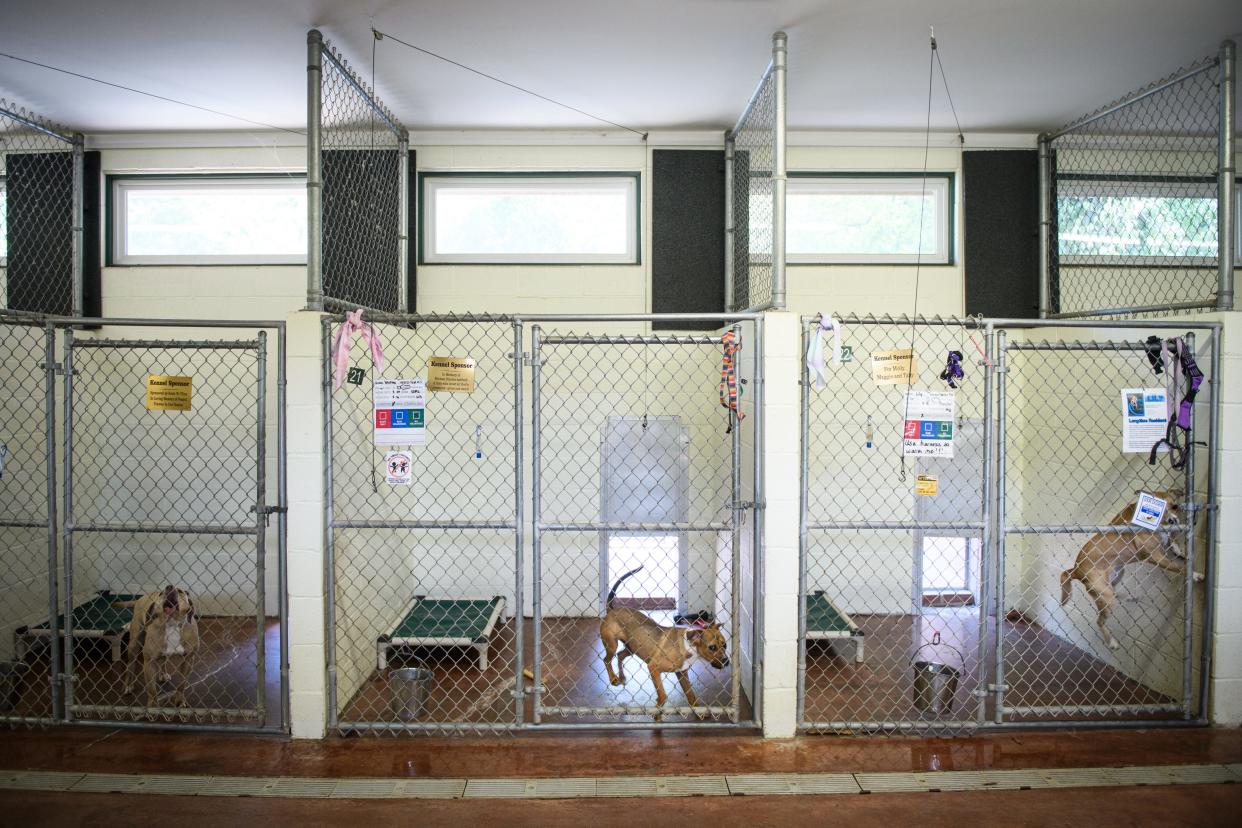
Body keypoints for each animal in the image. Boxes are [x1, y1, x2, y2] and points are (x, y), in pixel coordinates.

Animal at [598, 566, 725, 720]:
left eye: (725, 645)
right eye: (712, 647)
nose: (727, 661)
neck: (687, 646)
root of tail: (612, 609)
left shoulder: (682, 674)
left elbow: (691, 695)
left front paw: (699, 711)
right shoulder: (653, 668)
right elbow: (663, 695)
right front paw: (657, 712)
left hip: (632, 648)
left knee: (620, 656)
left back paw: (621, 676)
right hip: (612, 645)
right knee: (606, 660)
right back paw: (613, 678)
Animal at [1058, 489, 1202, 650]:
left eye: (1175, 506)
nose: (1173, 521)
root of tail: (1075, 569)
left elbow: (1173, 542)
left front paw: (1179, 550)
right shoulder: (1156, 557)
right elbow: (1179, 568)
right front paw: (1195, 574)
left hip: (1117, 574)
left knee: (1114, 591)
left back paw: (1129, 597)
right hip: (1106, 597)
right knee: (1099, 621)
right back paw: (1111, 642)